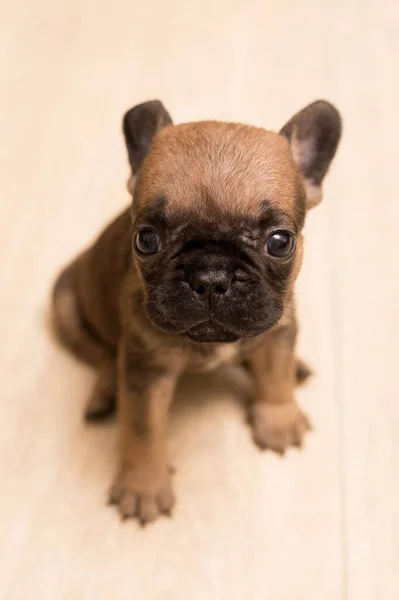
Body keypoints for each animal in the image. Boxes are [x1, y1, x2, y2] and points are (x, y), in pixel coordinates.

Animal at [52, 101, 340, 524]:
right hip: (64, 306)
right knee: (102, 355)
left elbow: (274, 375)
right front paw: (144, 487)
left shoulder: (278, 329)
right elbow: (143, 431)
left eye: (280, 241)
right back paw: (106, 390)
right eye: (146, 239)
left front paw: (279, 419)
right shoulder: (144, 369)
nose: (210, 277)